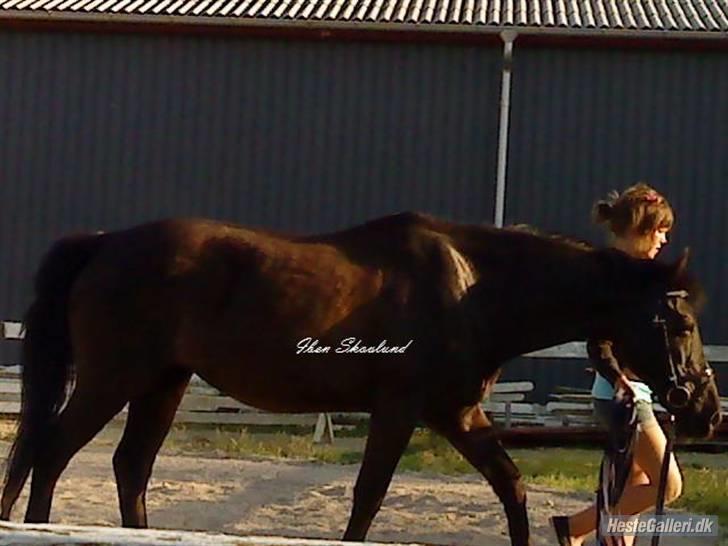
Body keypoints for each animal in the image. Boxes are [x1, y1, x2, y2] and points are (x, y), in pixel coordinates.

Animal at [0, 211, 720, 544]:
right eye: (681, 322)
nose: (706, 409)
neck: (471, 288)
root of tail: (105, 242)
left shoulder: (458, 415)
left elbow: (512, 488)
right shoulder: (399, 411)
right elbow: (368, 497)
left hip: (163, 383)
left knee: (130, 467)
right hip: (113, 379)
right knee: (53, 453)